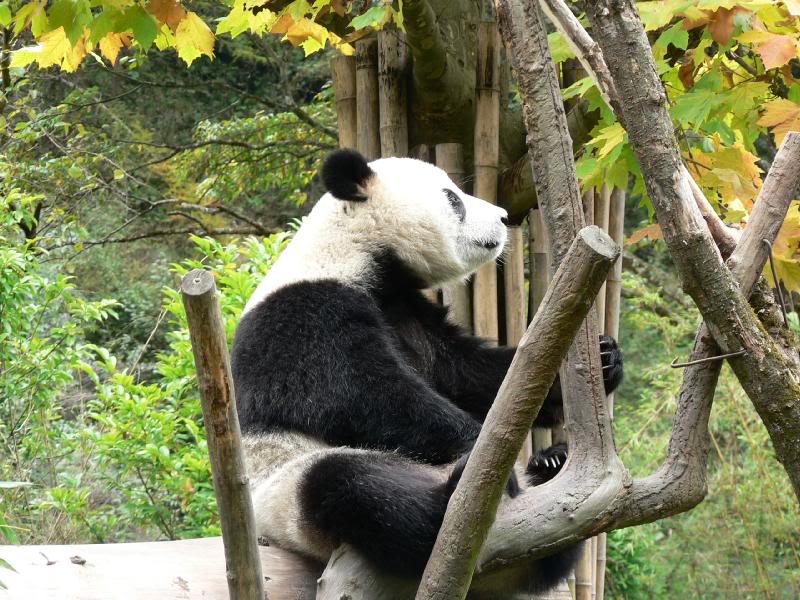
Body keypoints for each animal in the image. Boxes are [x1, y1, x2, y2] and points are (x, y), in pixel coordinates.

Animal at [231, 148, 623, 591]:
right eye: (453, 199)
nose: (504, 217)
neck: (358, 253)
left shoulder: (411, 313)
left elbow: (469, 375)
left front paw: (605, 358)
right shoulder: (304, 313)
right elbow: (359, 395)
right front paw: (473, 441)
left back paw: (549, 465)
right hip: (287, 487)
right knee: (353, 486)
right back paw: (455, 494)